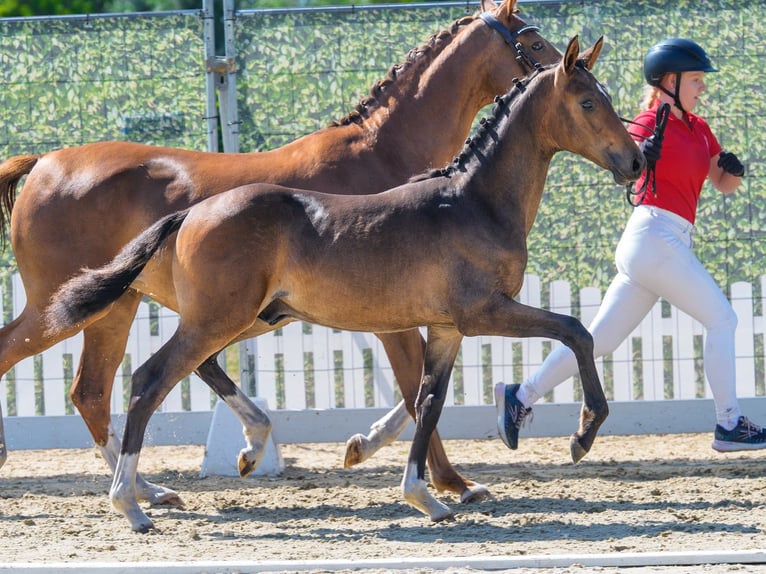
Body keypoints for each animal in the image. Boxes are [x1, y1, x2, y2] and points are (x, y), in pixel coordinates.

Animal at [43, 35, 644, 532]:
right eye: (588, 103)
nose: (636, 161)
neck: (472, 202)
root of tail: (190, 213)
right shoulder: (484, 312)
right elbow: (576, 331)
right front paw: (583, 435)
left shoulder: (447, 329)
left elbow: (428, 399)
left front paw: (426, 496)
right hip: (219, 319)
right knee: (147, 380)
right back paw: (133, 504)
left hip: (246, 318)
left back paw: (225, 459)